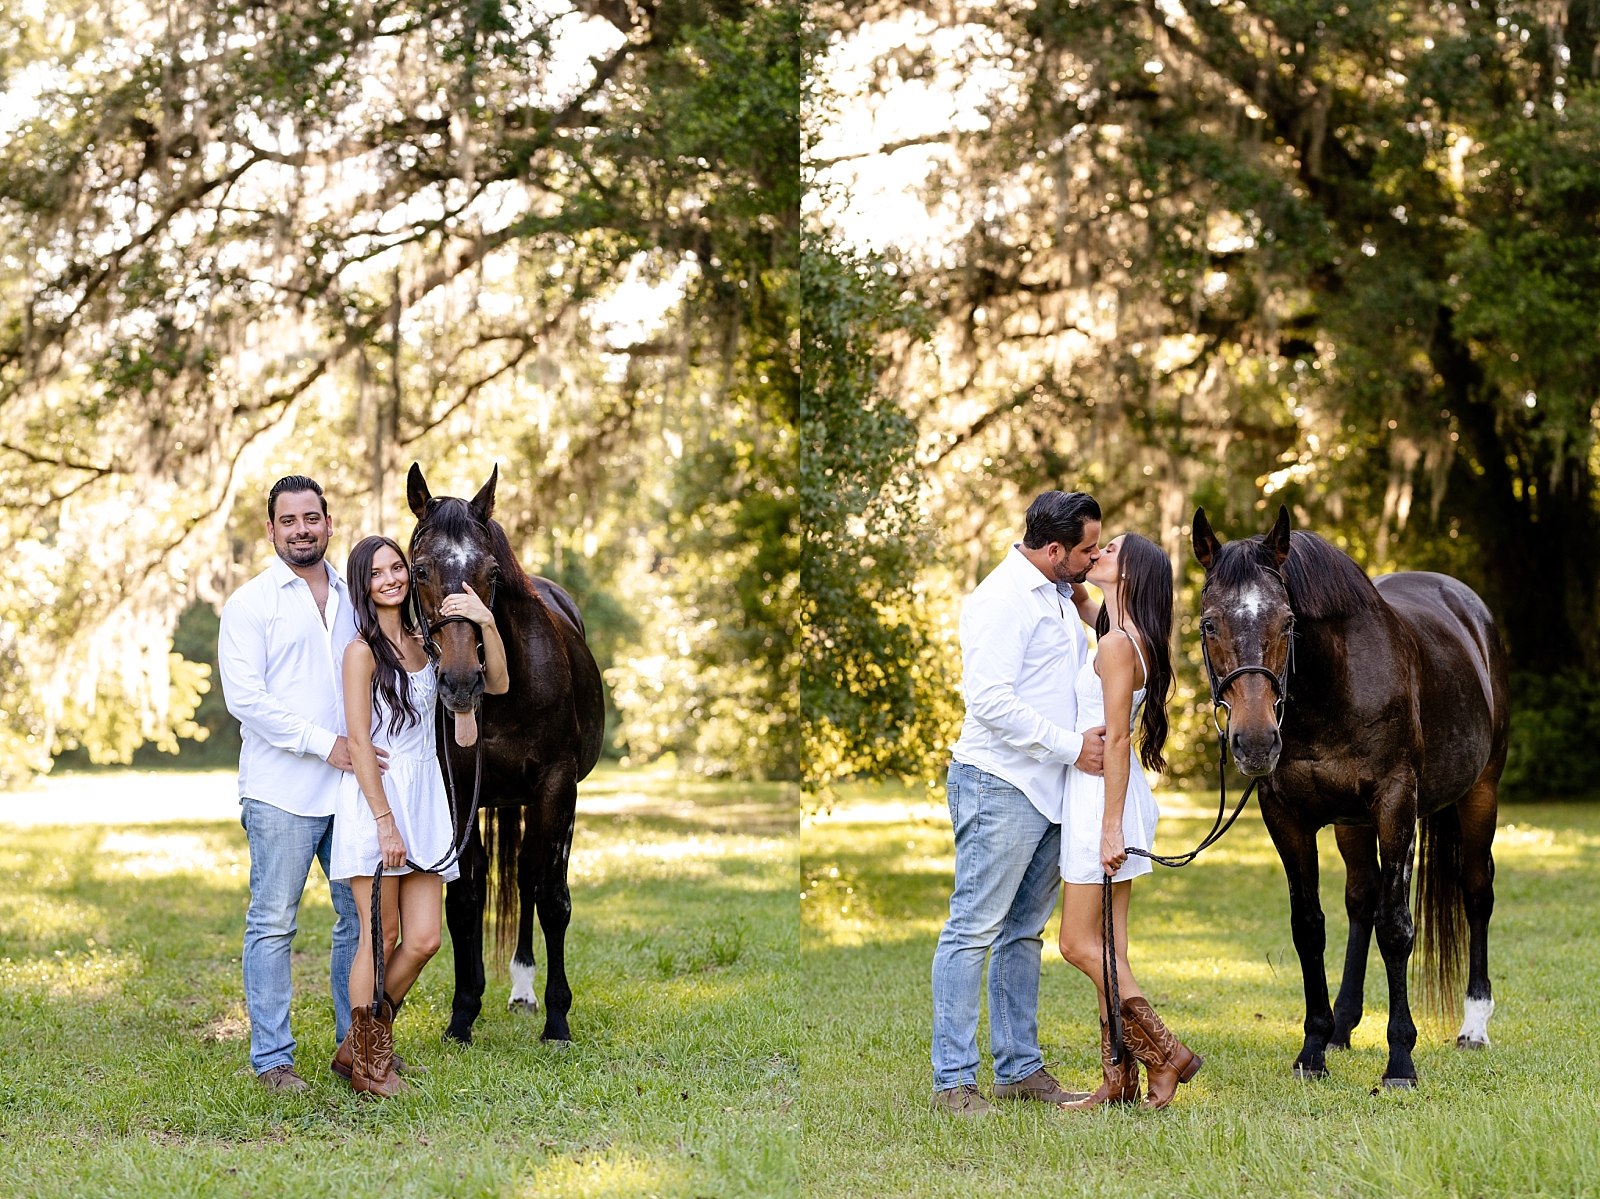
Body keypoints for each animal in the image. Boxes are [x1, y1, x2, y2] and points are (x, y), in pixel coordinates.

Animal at [406, 464, 604, 1043]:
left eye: (491, 572)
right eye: (419, 569)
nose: (460, 683)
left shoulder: (557, 786)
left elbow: (552, 898)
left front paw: (558, 1020)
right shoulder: (457, 791)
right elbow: (464, 898)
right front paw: (462, 1013)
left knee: (528, 877)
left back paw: (524, 989)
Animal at [1196, 505, 1504, 1082]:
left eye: (1288, 622)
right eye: (1208, 624)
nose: (1255, 741)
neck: (1333, 685)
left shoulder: (1395, 804)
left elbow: (1397, 928)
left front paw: (1400, 1060)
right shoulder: (1287, 816)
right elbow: (1310, 927)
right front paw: (1312, 1049)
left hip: (1481, 794)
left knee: (1476, 894)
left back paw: (1474, 1026)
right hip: (1351, 824)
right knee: (1361, 900)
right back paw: (1341, 1027)